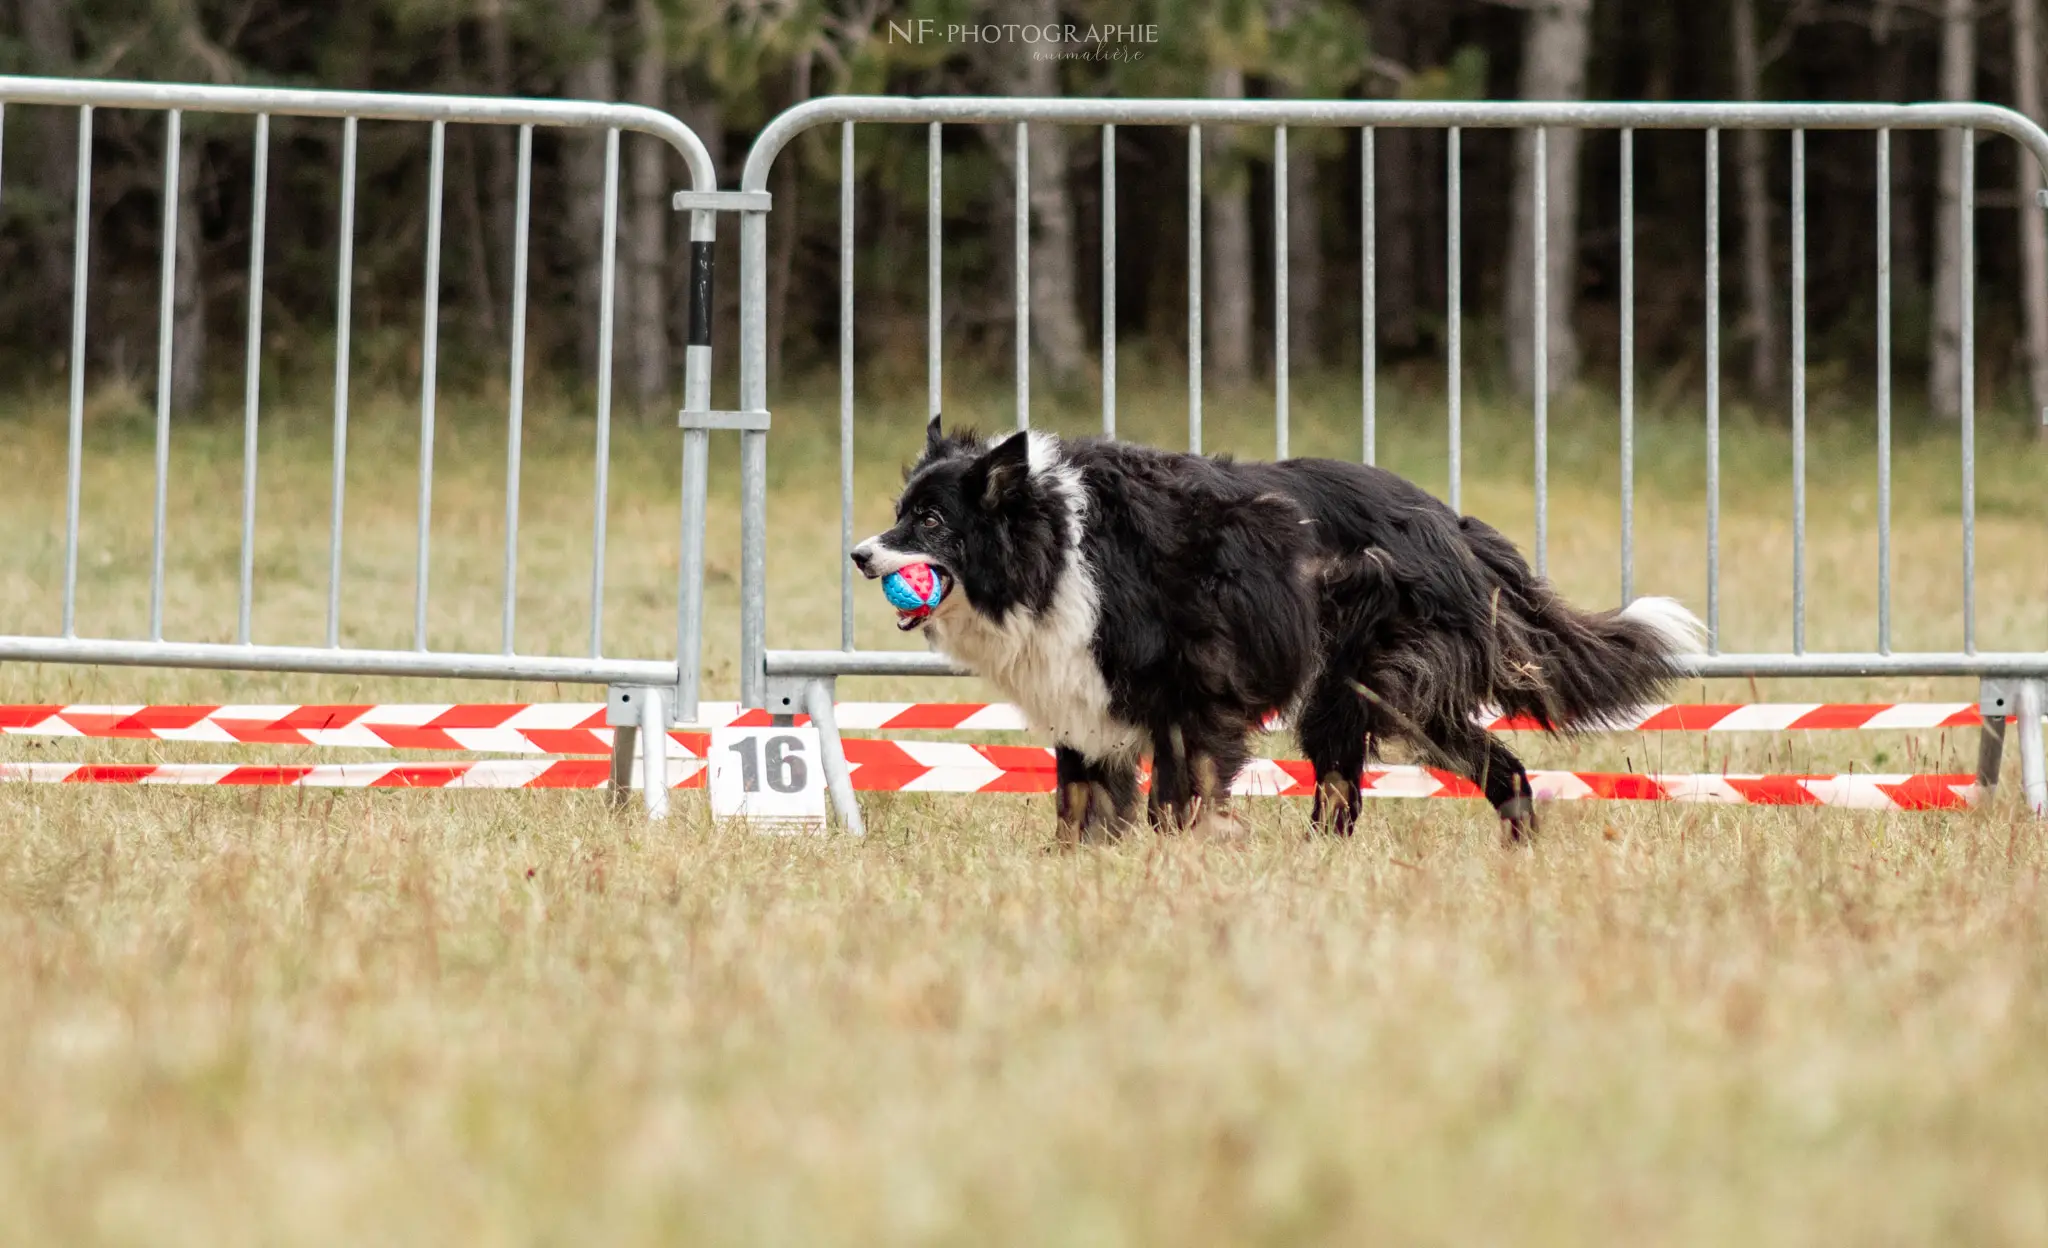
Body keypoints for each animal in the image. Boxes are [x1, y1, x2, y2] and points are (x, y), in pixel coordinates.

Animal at [851, 413, 1712, 840]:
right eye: (902, 512)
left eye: (930, 521)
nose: (860, 555)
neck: (1060, 545)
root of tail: (1451, 522)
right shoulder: (1081, 697)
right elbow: (1078, 803)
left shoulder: (1187, 703)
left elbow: (1175, 801)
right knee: (1471, 770)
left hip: (1373, 680)